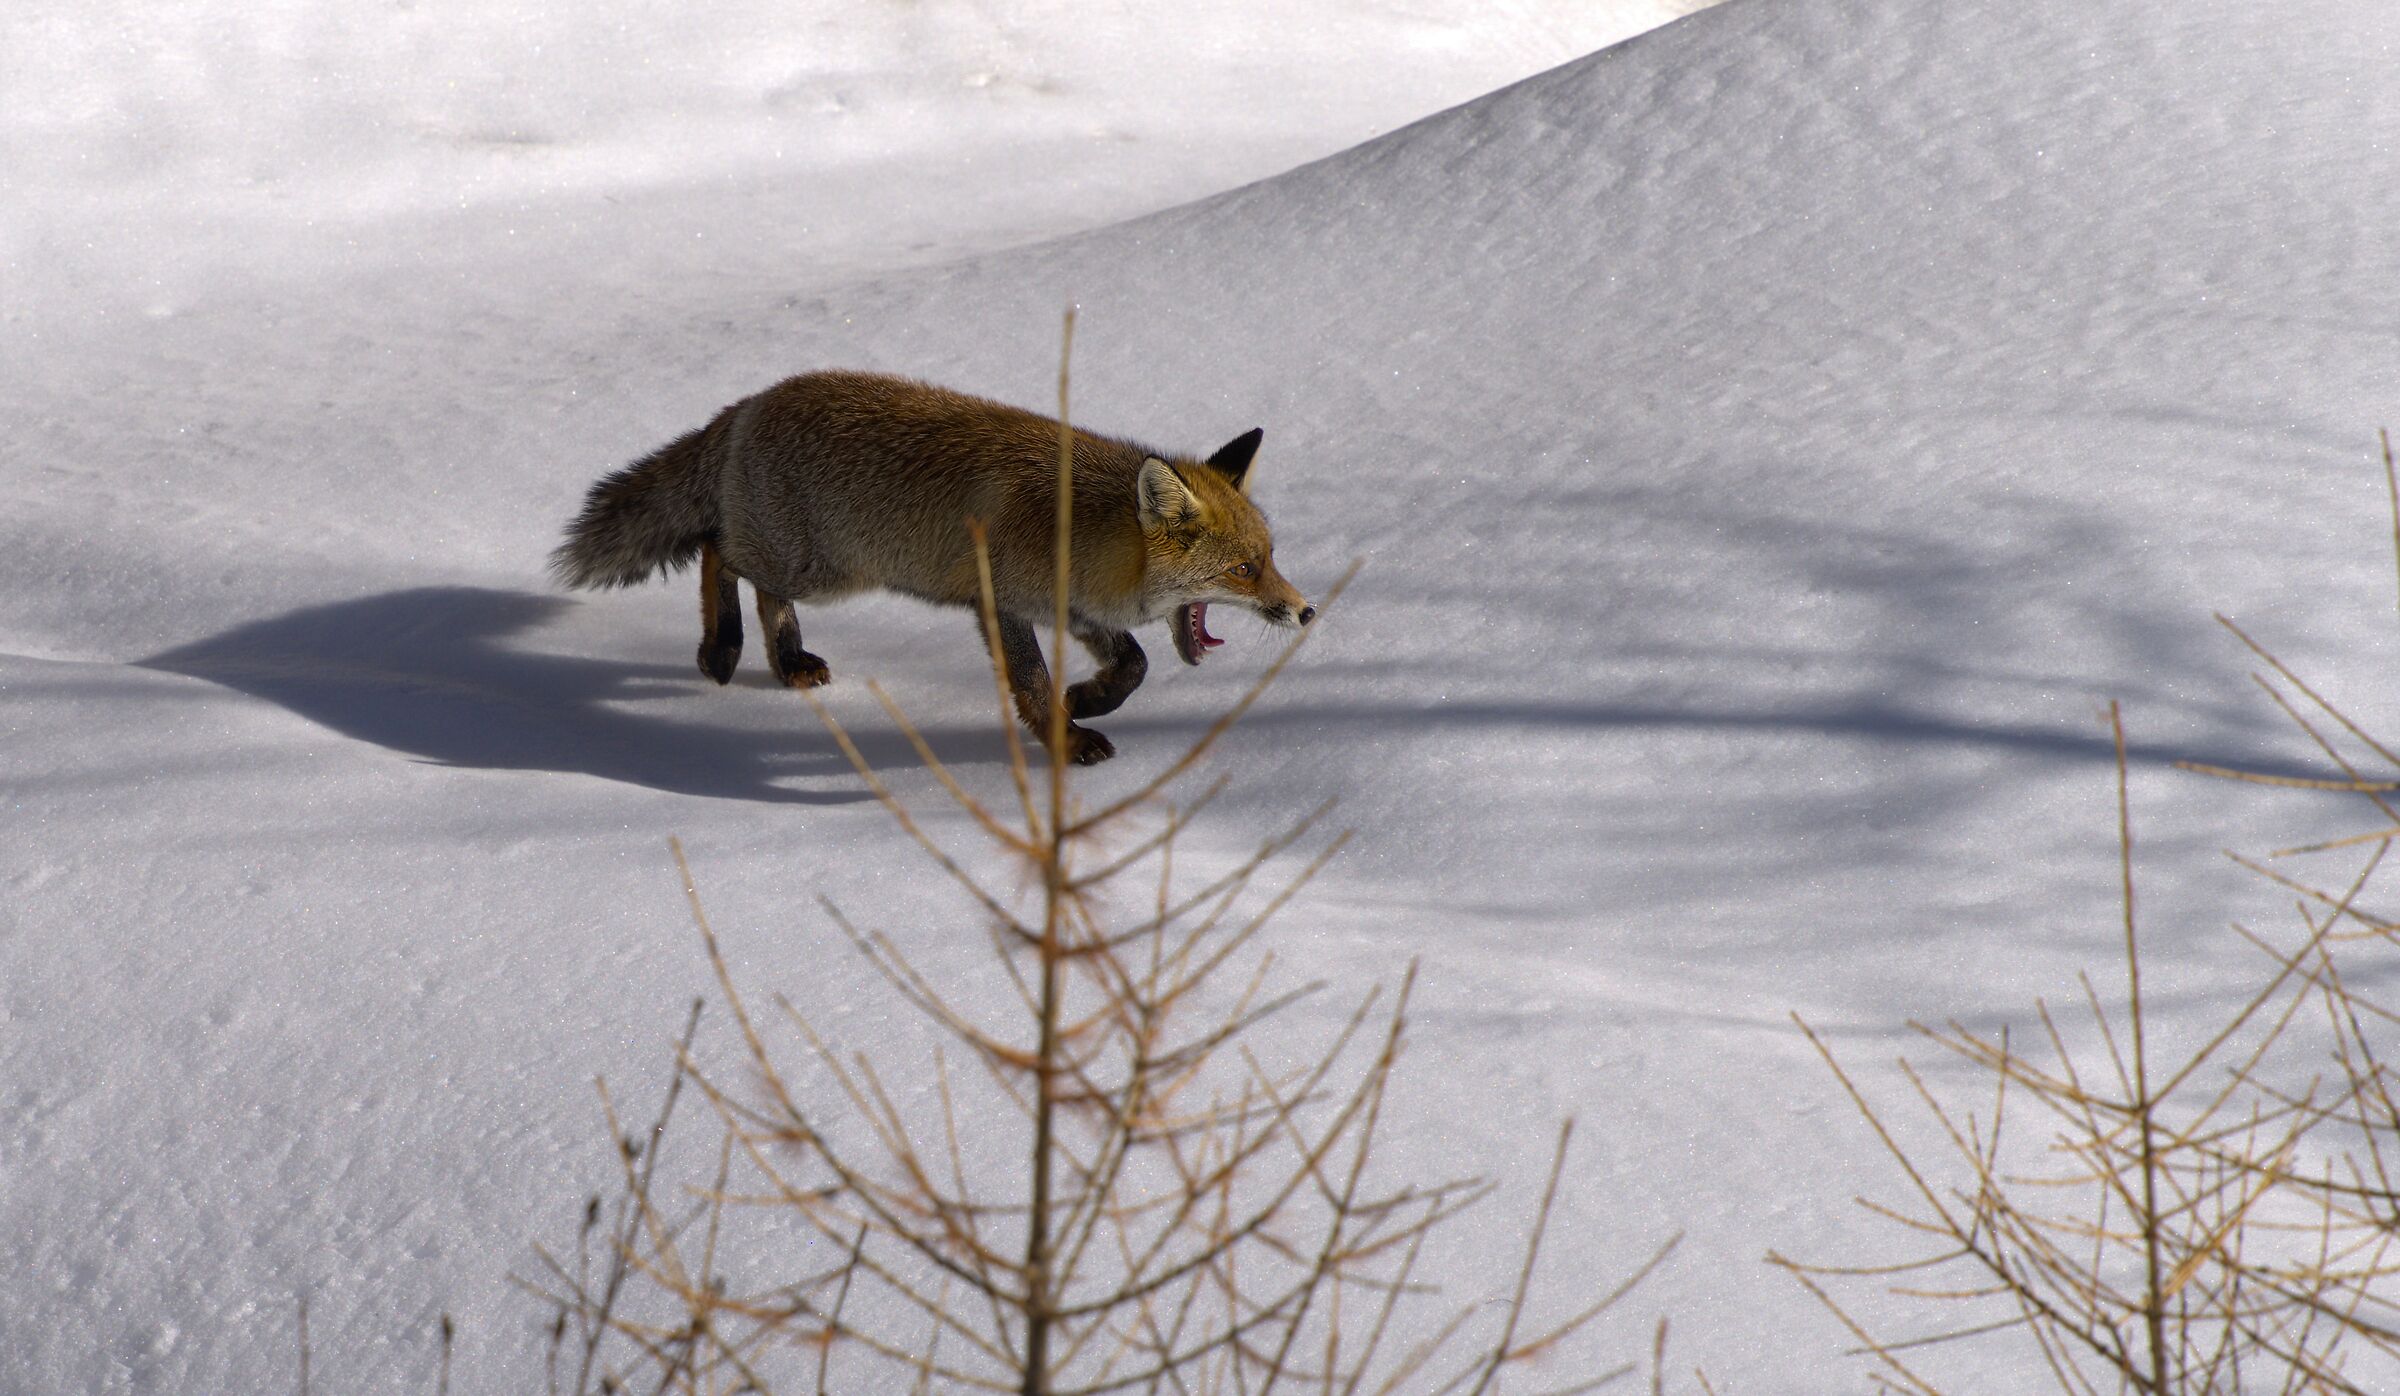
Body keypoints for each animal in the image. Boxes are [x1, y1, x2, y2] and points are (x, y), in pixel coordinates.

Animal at [551, 370, 1314, 765]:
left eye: (1270, 559)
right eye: (1245, 570)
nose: (1306, 611)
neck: (1082, 531)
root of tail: (750, 402)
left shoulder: (1075, 608)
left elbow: (1135, 665)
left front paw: (1088, 699)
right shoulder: (1002, 603)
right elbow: (1033, 684)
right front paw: (1064, 737)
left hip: (818, 572)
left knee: (758, 584)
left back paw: (787, 660)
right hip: (818, 570)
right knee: (717, 549)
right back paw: (722, 648)